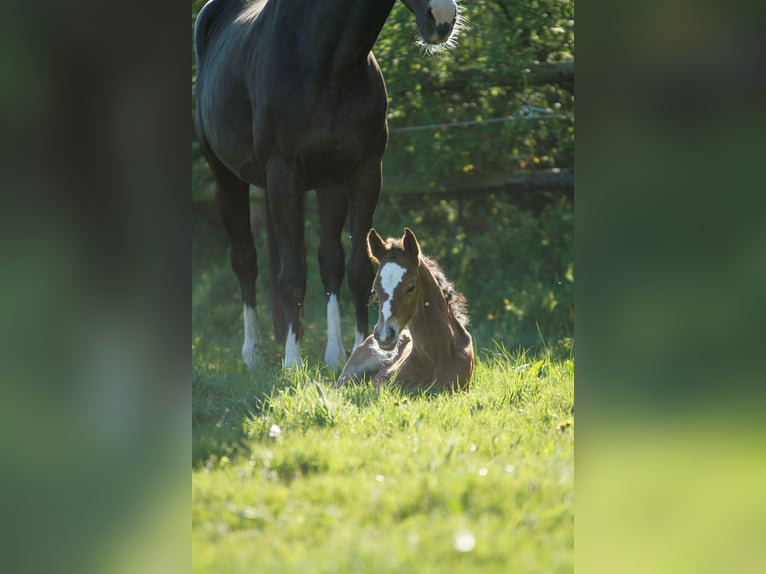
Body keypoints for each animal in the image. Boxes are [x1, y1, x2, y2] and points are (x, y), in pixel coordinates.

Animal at [194, 0, 464, 369]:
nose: (443, 19)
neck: (327, 64)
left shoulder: (364, 173)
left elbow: (359, 268)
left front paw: (363, 350)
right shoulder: (282, 175)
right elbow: (292, 274)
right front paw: (292, 362)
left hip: (328, 187)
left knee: (329, 261)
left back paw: (333, 353)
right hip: (227, 178)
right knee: (245, 260)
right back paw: (253, 353)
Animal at [338, 228, 474, 391]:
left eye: (411, 287)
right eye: (375, 289)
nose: (384, 335)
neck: (435, 354)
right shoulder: (381, 381)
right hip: (349, 374)